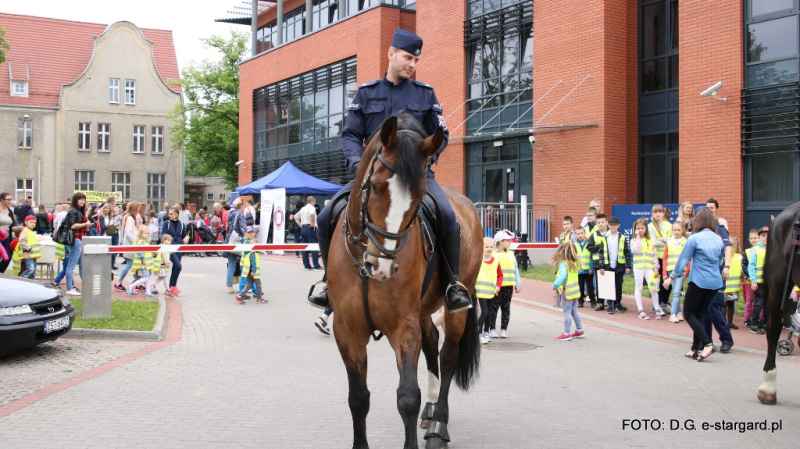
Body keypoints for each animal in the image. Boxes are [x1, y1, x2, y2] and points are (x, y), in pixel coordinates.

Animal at [326, 113, 482, 448]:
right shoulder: (347, 329)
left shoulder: (403, 326)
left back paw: (439, 424)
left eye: (420, 195)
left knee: (447, 357)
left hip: (455, 308)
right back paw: (431, 410)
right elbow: (358, 397)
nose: (382, 265)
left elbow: (408, 397)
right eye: (374, 186)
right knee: (432, 344)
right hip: (423, 309)